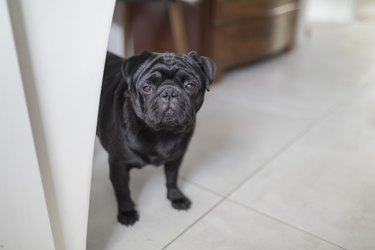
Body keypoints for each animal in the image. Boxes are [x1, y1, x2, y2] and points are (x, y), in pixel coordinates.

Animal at [97, 51, 216, 227]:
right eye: (147, 88)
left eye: (190, 86)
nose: (169, 93)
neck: (161, 133)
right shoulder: (118, 166)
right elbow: (123, 191)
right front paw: (127, 211)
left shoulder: (175, 158)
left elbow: (172, 178)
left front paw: (176, 197)